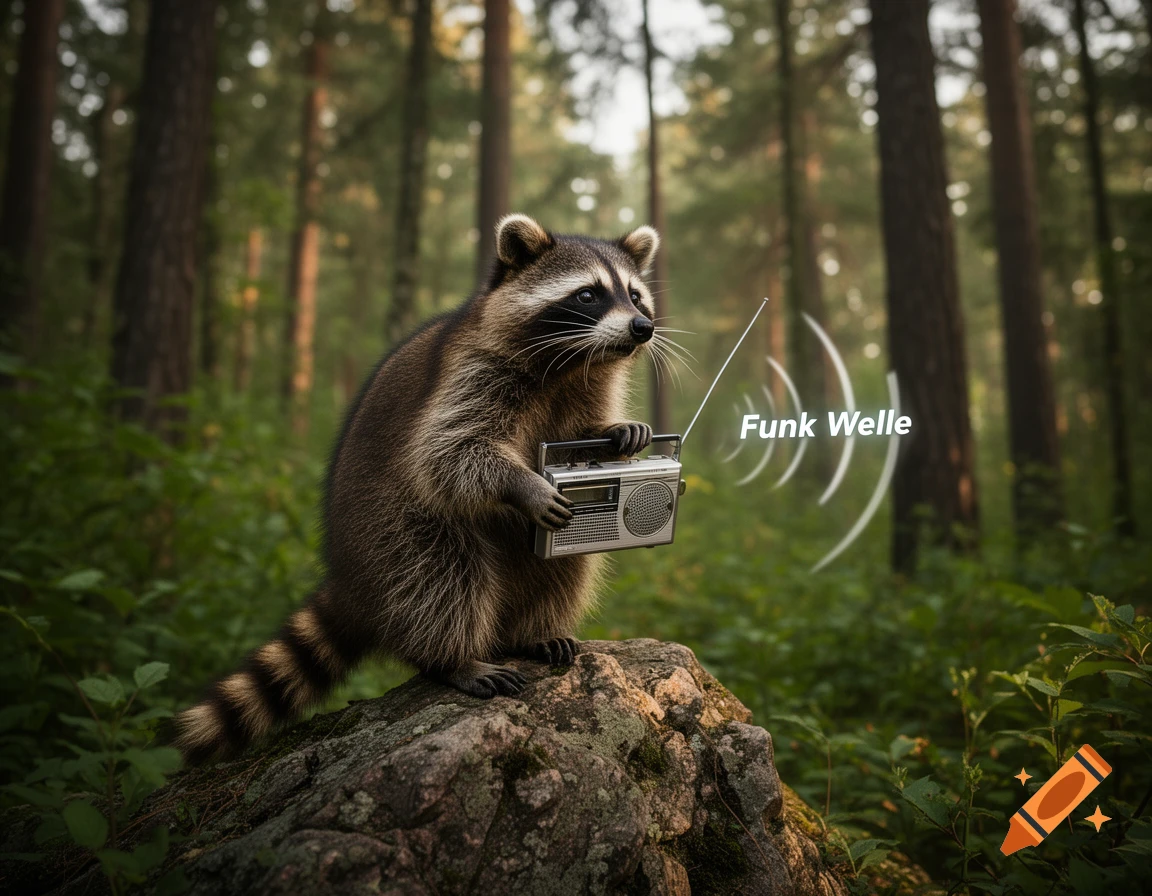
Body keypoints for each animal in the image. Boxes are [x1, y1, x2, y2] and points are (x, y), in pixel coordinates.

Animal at [174, 214, 664, 762]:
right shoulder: (470, 374)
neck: (572, 362)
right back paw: (455, 657)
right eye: (588, 295)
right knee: (440, 575)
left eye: (635, 296)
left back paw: (533, 632)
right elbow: (450, 454)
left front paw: (619, 432)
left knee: (563, 568)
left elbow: (578, 440)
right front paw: (525, 483)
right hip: (391, 529)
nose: (642, 328)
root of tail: (350, 578)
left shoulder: (586, 387)